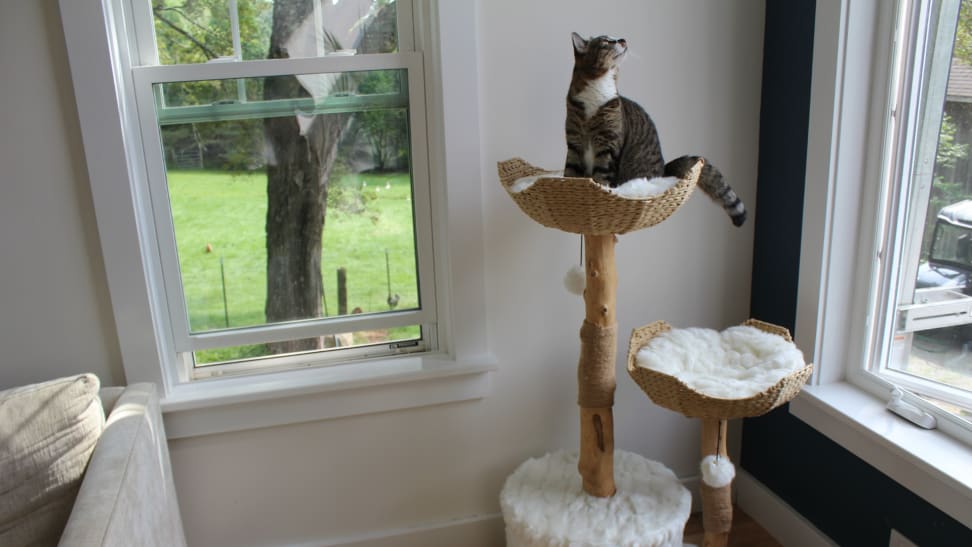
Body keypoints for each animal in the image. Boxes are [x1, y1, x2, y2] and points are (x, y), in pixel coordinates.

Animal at [560, 32, 744, 227]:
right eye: (606, 41)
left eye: (614, 38)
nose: (623, 39)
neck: (597, 90)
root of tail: (664, 172)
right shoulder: (574, 143)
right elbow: (569, 173)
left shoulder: (608, 146)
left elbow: (601, 178)